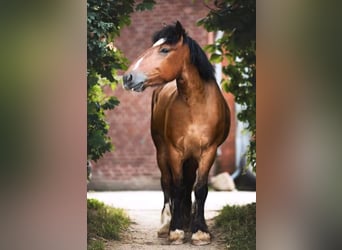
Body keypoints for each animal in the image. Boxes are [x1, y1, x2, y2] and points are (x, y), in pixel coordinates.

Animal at [123, 21, 230, 244]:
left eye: (165, 49)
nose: (127, 77)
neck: (196, 106)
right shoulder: (175, 152)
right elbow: (177, 187)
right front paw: (176, 229)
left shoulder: (208, 152)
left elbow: (200, 188)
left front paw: (200, 231)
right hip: (162, 152)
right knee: (167, 183)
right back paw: (166, 224)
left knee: (189, 185)